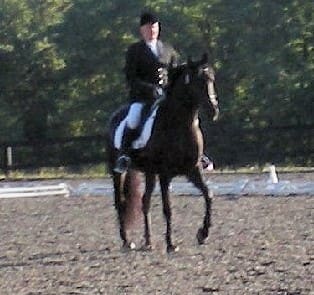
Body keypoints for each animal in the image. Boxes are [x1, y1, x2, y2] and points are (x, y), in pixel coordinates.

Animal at [105, 53, 218, 252]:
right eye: (198, 81)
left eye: (212, 79)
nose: (214, 111)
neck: (180, 124)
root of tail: (116, 115)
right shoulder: (165, 174)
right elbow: (168, 208)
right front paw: (171, 244)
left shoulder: (193, 170)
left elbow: (208, 195)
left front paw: (203, 234)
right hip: (117, 171)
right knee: (120, 203)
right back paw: (127, 241)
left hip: (150, 172)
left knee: (145, 202)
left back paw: (148, 242)